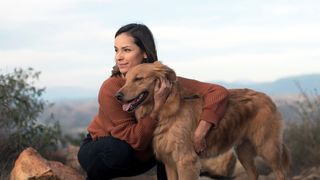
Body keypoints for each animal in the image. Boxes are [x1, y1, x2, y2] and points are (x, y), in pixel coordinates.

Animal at [115, 61, 290, 179]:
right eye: (126, 80)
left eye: (139, 79)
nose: (117, 96)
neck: (165, 109)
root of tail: (267, 97)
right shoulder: (169, 162)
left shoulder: (186, 161)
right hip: (244, 151)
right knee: (254, 174)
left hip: (268, 147)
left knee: (280, 172)